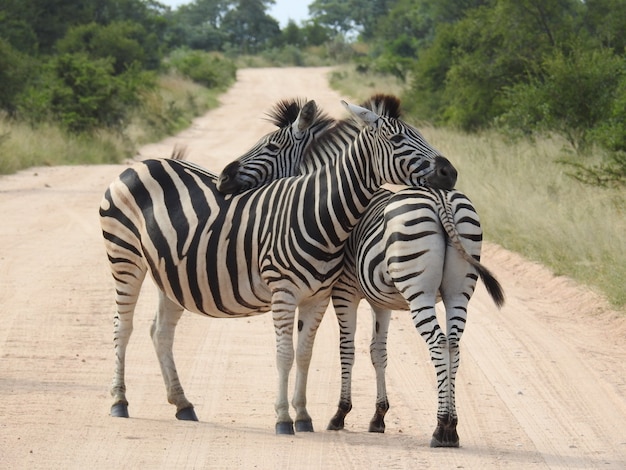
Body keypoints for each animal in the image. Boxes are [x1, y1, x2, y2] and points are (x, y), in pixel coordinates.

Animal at [100, 94, 456, 434]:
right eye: (398, 139)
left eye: (271, 146)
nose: (450, 172)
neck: (316, 212)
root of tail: (141, 164)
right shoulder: (283, 293)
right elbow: (284, 355)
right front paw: (284, 419)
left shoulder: (317, 297)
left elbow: (304, 354)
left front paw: (304, 417)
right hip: (125, 257)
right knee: (122, 326)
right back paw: (119, 401)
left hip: (170, 273)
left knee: (160, 332)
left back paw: (182, 404)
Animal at [214, 93, 502, 446]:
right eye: (402, 138)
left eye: (270, 146)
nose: (224, 178)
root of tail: (441, 201)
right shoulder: (382, 302)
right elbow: (378, 352)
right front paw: (378, 417)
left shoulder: (343, 292)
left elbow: (346, 349)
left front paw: (340, 414)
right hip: (459, 291)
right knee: (453, 344)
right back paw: (453, 428)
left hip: (418, 291)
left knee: (437, 342)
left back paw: (441, 427)